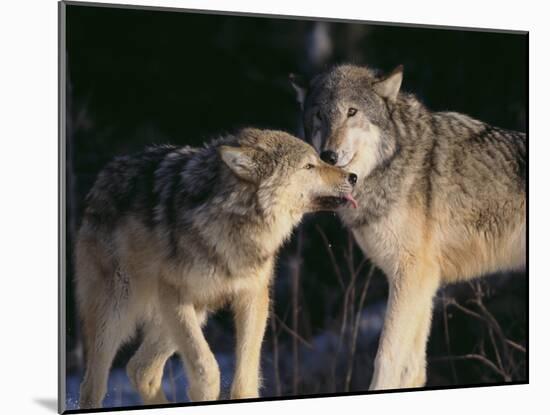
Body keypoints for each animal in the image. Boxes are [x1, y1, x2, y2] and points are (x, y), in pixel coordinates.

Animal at [75, 127, 358, 410]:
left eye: (318, 160)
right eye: (309, 166)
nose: (354, 176)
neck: (232, 222)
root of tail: (103, 176)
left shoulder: (252, 297)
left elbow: (245, 376)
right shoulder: (175, 295)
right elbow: (206, 367)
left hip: (192, 313)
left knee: (140, 369)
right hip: (118, 312)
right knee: (92, 386)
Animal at [294, 64, 532, 390]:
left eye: (352, 112)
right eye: (318, 115)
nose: (328, 155)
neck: (391, 163)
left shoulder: (412, 273)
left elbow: (387, 359)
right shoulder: (421, 282)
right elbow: (412, 369)